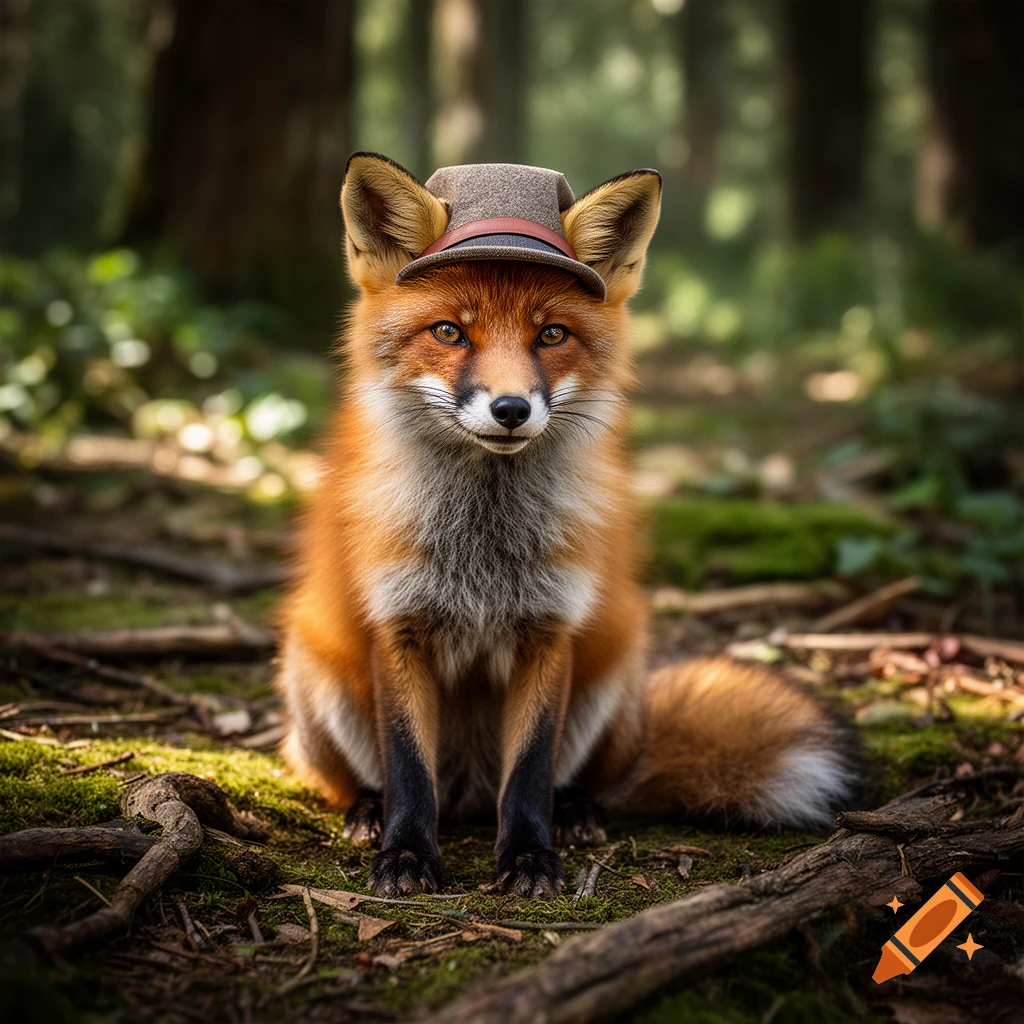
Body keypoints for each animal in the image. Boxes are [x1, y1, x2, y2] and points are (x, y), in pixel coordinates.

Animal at [275, 152, 855, 899]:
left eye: (551, 334)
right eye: (449, 331)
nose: (511, 409)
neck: (483, 549)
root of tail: (468, 793)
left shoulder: (549, 629)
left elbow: (528, 774)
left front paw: (529, 856)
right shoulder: (399, 627)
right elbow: (408, 769)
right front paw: (405, 853)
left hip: (611, 673)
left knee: (580, 782)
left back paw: (575, 812)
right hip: (317, 671)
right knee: (365, 779)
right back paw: (368, 811)